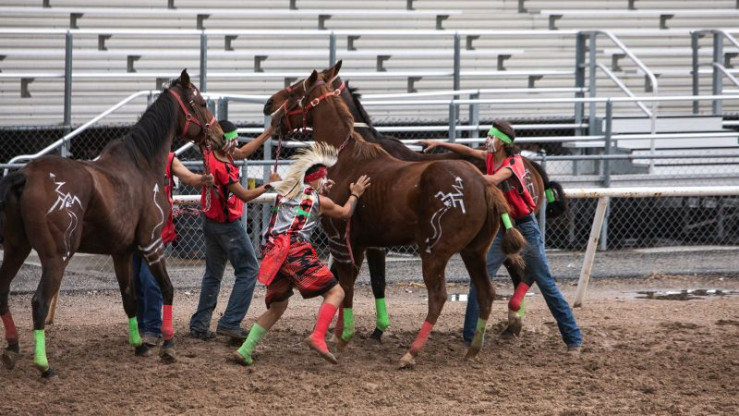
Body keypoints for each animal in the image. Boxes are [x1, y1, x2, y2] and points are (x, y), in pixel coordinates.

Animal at [0, 69, 224, 378]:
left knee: (2, 290)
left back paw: (12, 348)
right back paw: (44, 366)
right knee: (39, 303)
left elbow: (129, 298)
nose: (221, 137)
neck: (141, 164)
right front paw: (168, 345)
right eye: (201, 103)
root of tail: (25, 175)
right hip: (56, 258)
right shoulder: (152, 244)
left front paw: (139, 345)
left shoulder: (122, 252)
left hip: (16, 248)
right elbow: (167, 289)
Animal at [264, 61, 527, 368]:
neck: (345, 159)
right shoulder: (360, 244)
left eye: (296, 88)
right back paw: (474, 348)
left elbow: (347, 285)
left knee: (438, 297)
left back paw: (411, 353)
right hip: (474, 251)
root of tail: (485, 183)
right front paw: (342, 334)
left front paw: (341, 338)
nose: (269, 106)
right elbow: (350, 285)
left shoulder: (340, 237)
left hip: (434, 252)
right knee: (487, 293)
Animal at [328, 74, 568, 340]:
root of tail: (529, 164)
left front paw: (376, 330)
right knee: (520, 273)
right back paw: (509, 324)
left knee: (521, 273)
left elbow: (375, 281)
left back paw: (510, 322)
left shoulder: (373, 240)